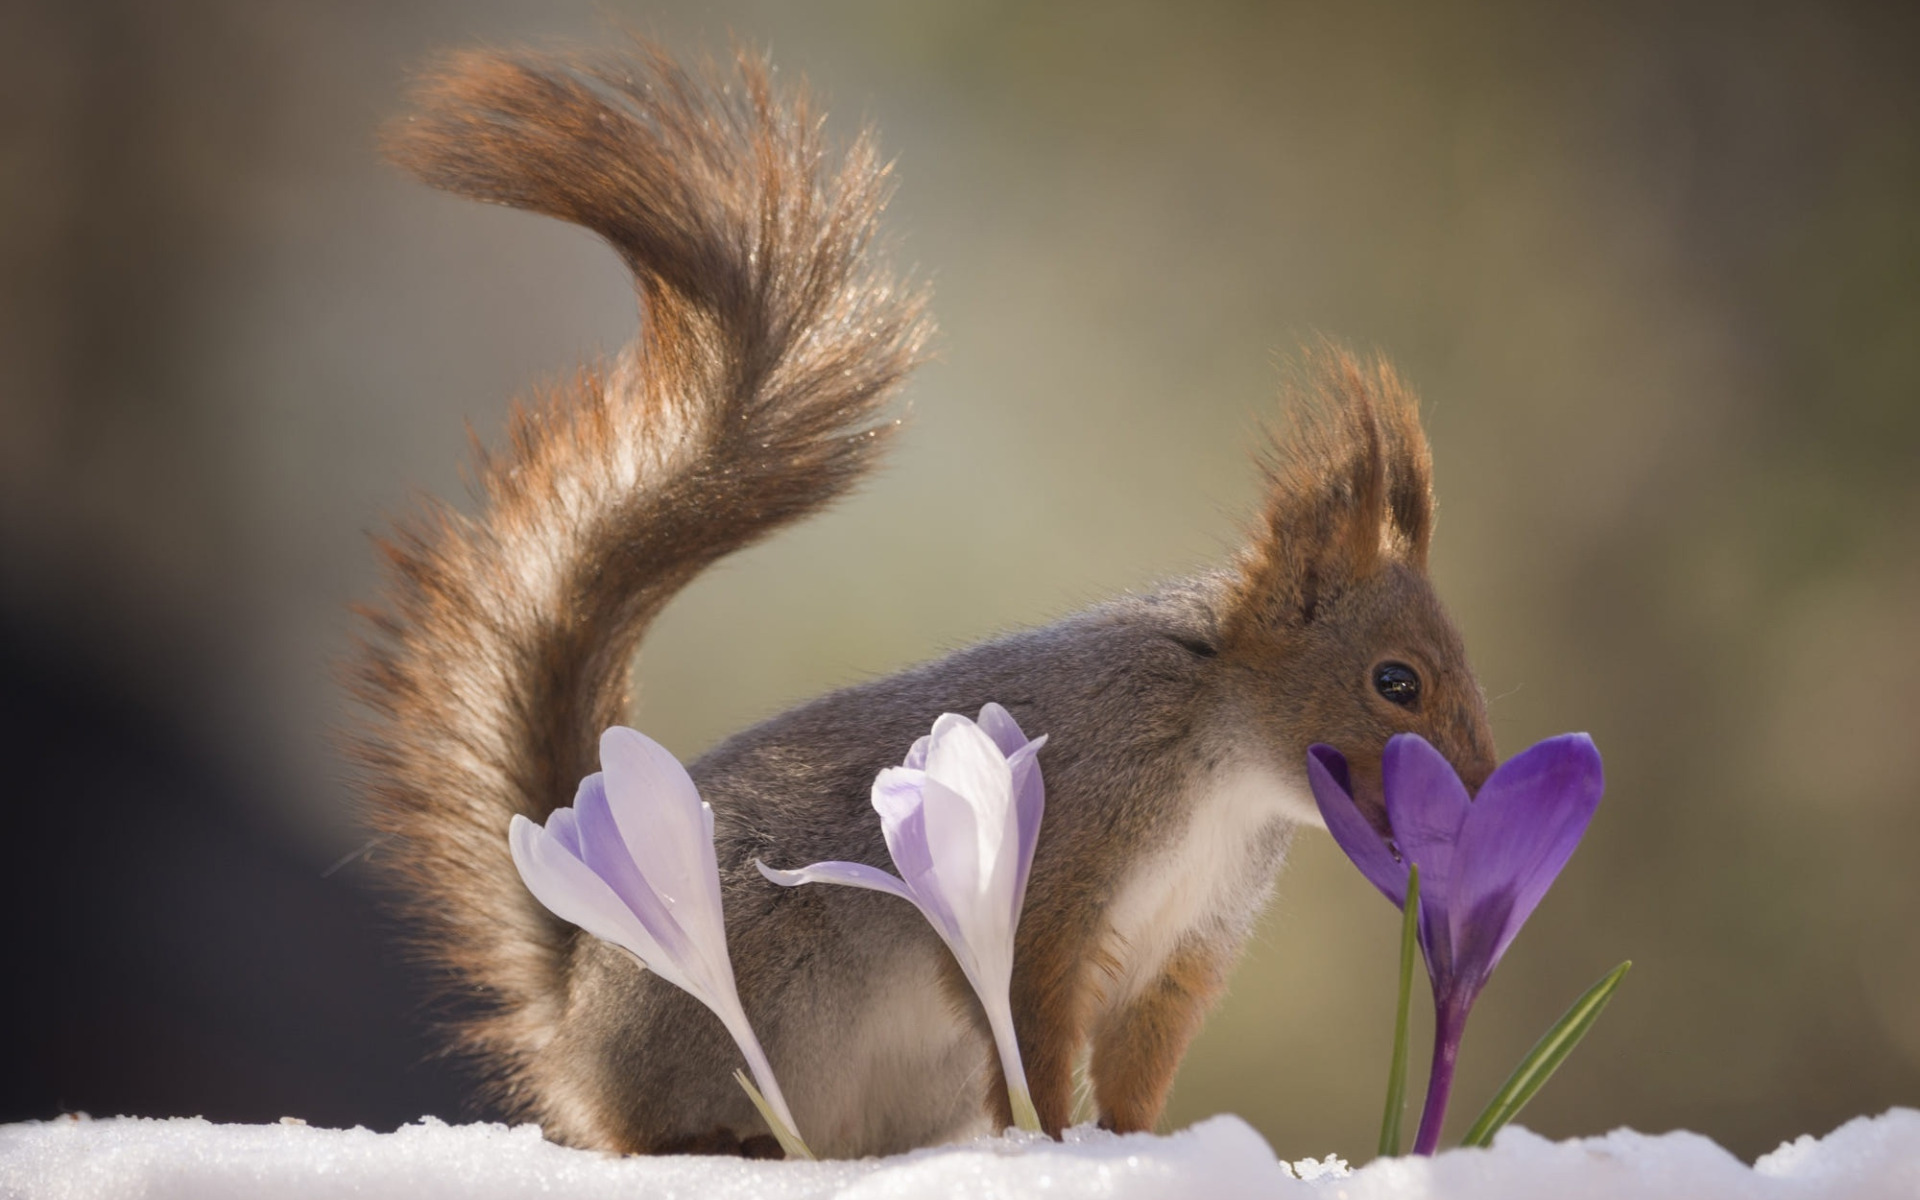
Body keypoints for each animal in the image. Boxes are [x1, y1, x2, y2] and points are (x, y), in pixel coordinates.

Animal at [357, 42, 1497, 1159]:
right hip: (727, 999)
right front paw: (1063, 1146)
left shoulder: (1190, 940)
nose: (1482, 792)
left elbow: (1141, 1061)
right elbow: (1033, 1025)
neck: (1219, 751)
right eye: (1396, 682)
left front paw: (1144, 1145)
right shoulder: (1058, 863)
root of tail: (573, 1014)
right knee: (650, 1124)